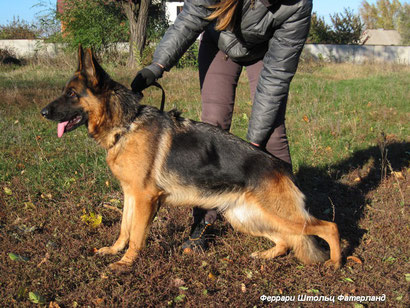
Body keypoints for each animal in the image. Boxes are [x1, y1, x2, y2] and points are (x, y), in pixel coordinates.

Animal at [40, 47, 342, 270]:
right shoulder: (130, 195)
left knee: (328, 227)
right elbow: (124, 229)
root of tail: (281, 168)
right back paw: (265, 256)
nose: (42, 112)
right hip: (245, 217)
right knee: (286, 241)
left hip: (277, 215)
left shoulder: (146, 198)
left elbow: (136, 236)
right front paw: (114, 251)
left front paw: (126, 264)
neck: (126, 124)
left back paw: (336, 264)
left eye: (71, 94)